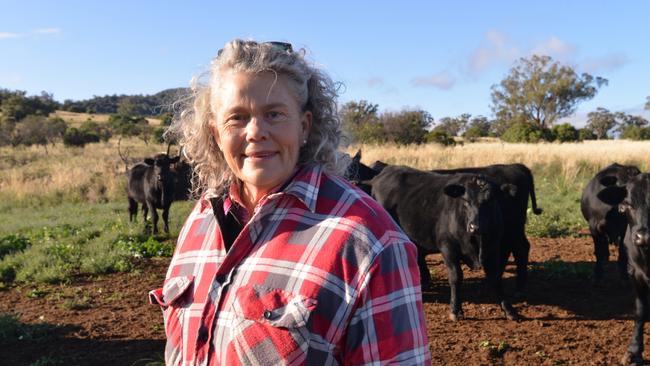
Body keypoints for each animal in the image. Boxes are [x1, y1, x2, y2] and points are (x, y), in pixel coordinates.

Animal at [370, 166, 516, 320]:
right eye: (465, 201)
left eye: (489, 201)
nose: (474, 226)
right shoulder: (448, 248)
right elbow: (456, 277)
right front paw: (455, 310)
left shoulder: (493, 247)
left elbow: (496, 277)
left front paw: (509, 310)